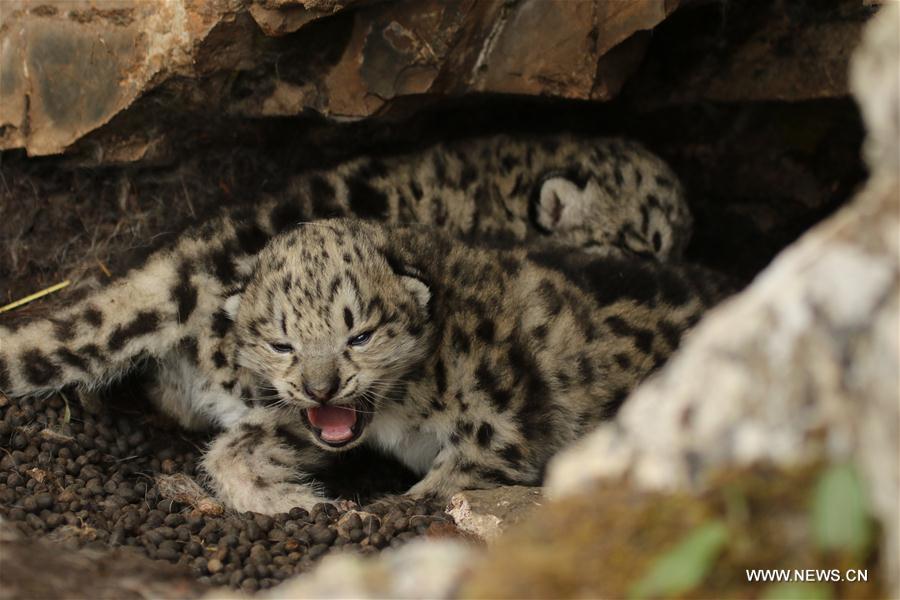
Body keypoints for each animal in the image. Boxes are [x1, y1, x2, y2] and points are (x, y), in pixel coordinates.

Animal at [0, 218, 730, 514]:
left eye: (361, 335)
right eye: (283, 344)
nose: (321, 385)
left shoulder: (497, 432)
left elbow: (441, 486)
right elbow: (235, 450)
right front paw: (296, 500)